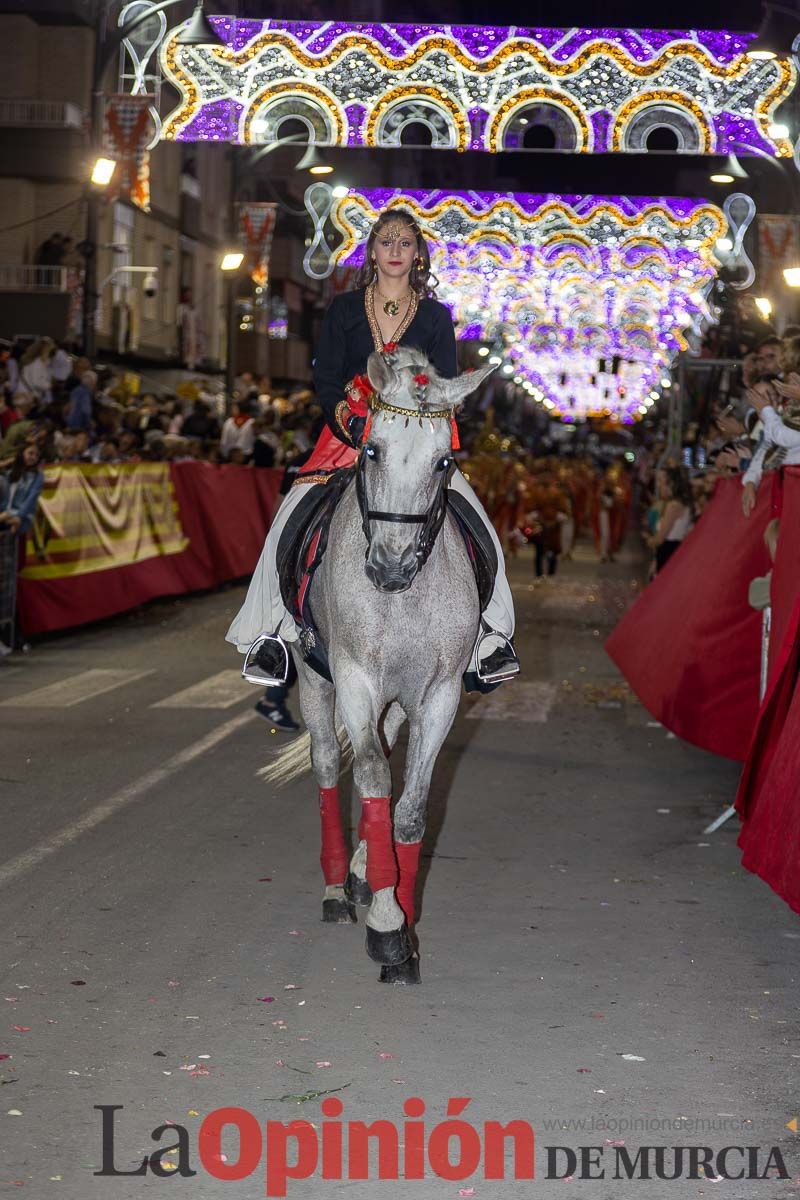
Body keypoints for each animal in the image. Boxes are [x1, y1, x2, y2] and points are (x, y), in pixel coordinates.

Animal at [262, 348, 494, 984]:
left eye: (445, 461)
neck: (400, 599)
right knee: (326, 765)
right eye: (371, 450)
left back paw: (367, 872)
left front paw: (403, 929)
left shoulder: (439, 695)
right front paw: (388, 927)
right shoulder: (355, 681)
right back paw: (338, 889)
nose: (390, 567)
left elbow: (409, 809)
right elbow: (369, 777)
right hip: (316, 681)